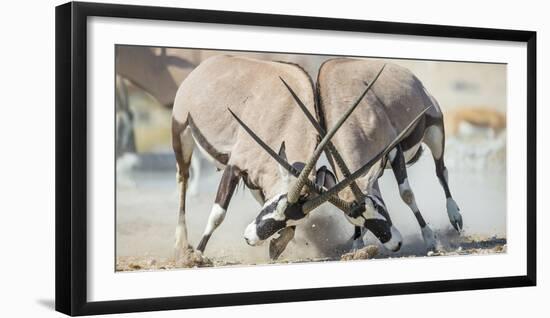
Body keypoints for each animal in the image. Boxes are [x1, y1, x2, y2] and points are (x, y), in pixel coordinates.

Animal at [172, 54, 402, 260]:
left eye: (289, 217)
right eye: (278, 206)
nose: (249, 239)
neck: (285, 118)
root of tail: (208, 64)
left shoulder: (258, 178)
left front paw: (277, 246)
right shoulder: (235, 167)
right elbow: (218, 214)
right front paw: (198, 254)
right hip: (182, 132)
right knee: (183, 178)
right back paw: (181, 243)